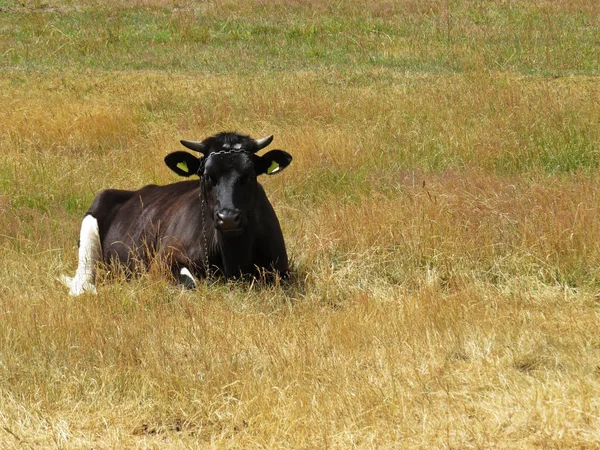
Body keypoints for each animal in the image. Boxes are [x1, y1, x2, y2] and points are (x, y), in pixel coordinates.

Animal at [61, 132, 292, 298]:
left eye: (250, 174)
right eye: (207, 176)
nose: (227, 218)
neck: (234, 258)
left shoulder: (282, 271)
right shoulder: (160, 264)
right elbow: (189, 284)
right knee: (83, 283)